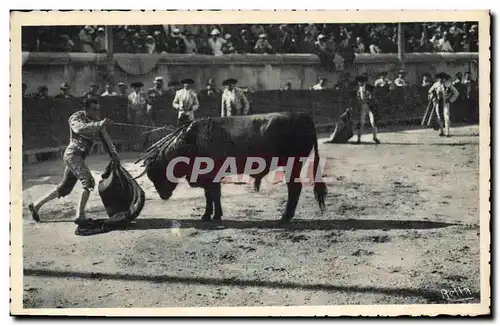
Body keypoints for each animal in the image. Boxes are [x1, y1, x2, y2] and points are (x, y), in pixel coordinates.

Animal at [134, 112, 328, 222]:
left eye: (156, 173)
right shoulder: (209, 178)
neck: (190, 141)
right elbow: (211, 196)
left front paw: (212, 216)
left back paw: (285, 217)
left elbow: (213, 195)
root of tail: (303, 118)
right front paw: (210, 215)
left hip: (293, 164)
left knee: (294, 188)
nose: (163, 196)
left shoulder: (210, 176)